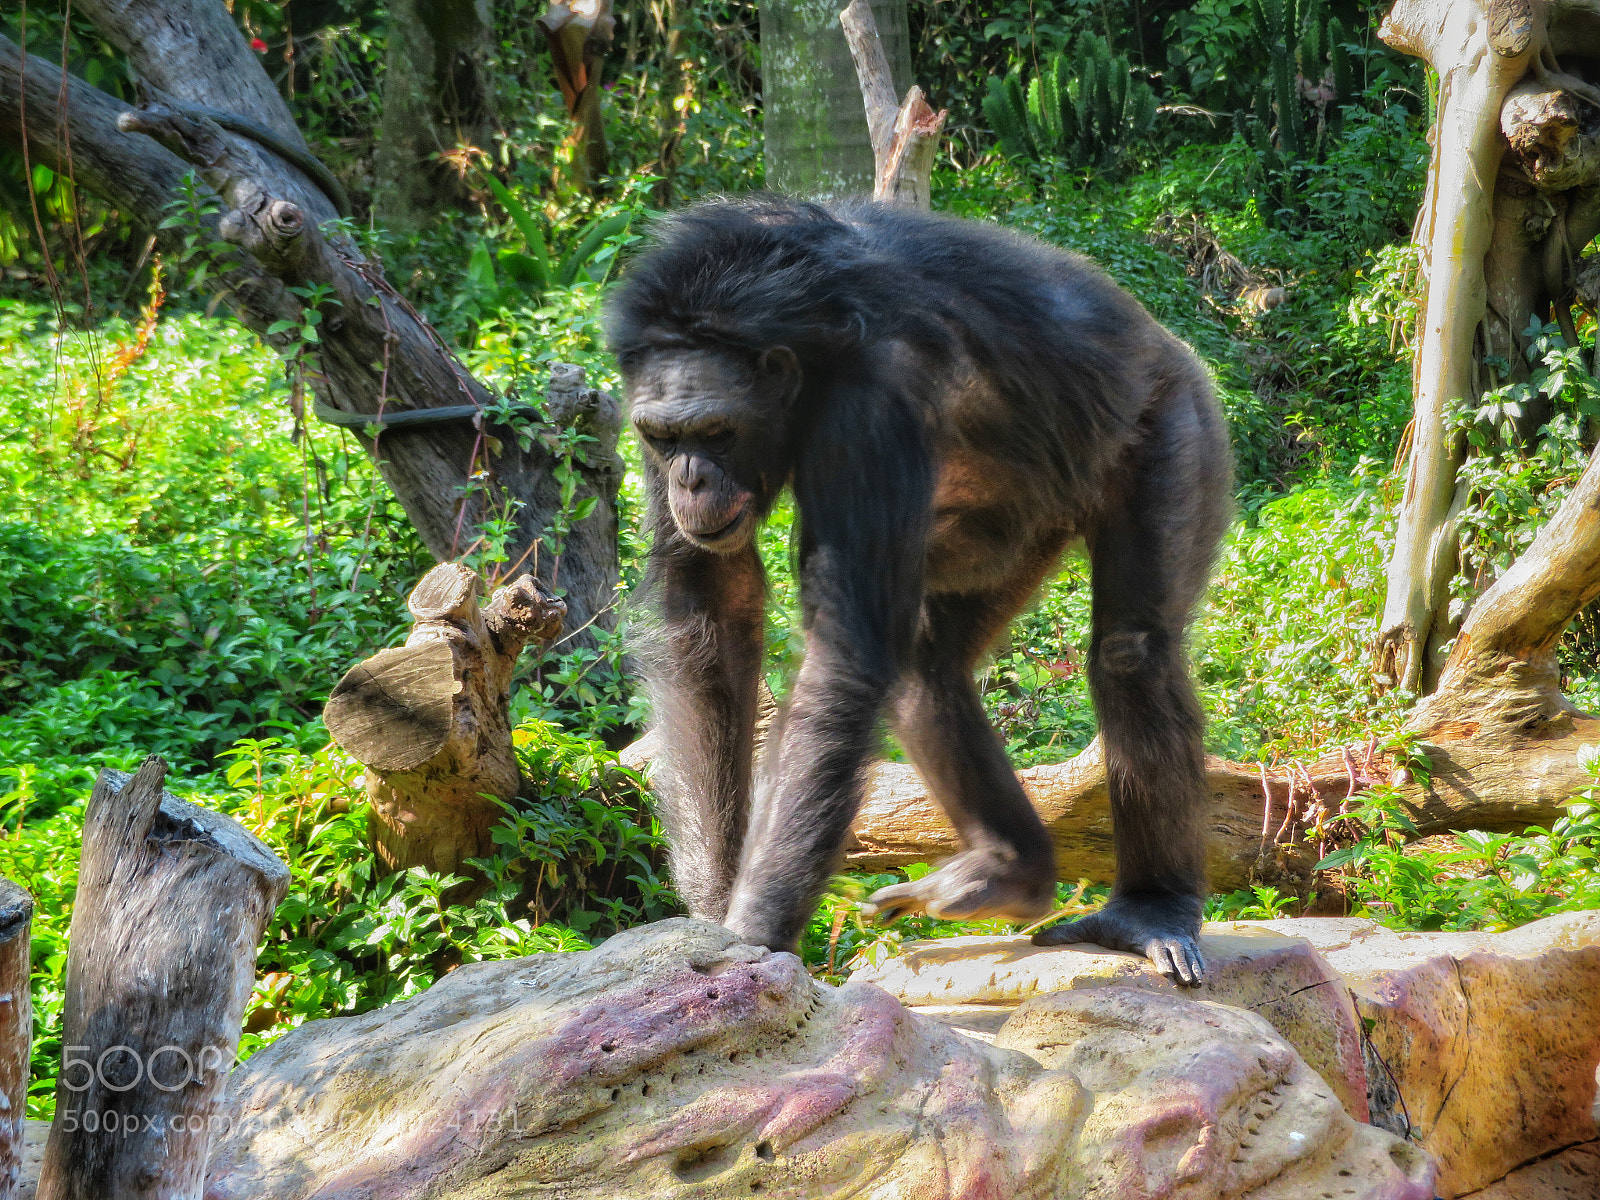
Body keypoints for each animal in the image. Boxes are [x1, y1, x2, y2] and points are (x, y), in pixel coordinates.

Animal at [605, 197, 1230, 984]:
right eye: (664, 438)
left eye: (717, 432)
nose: (688, 479)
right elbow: (711, 606)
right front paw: (713, 914)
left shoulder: (869, 409)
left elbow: (843, 651)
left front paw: (754, 933)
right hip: (1014, 530)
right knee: (925, 669)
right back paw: (1009, 873)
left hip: (1173, 418)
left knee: (1134, 652)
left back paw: (1150, 911)